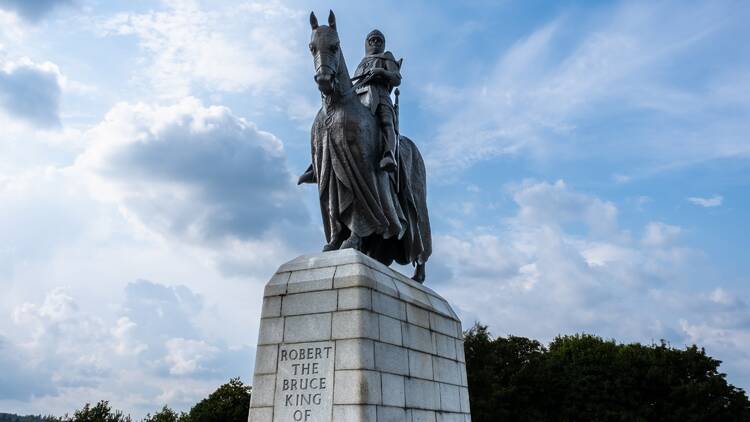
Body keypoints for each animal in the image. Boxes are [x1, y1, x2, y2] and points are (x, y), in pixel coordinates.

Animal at [296, 9, 432, 282]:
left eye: (335, 46)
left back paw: (419, 274)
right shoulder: (328, 167)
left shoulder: (363, 170)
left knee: (420, 234)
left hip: (418, 197)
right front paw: (335, 242)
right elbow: (334, 207)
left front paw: (353, 239)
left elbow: (361, 205)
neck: (337, 105)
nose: (324, 80)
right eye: (312, 47)